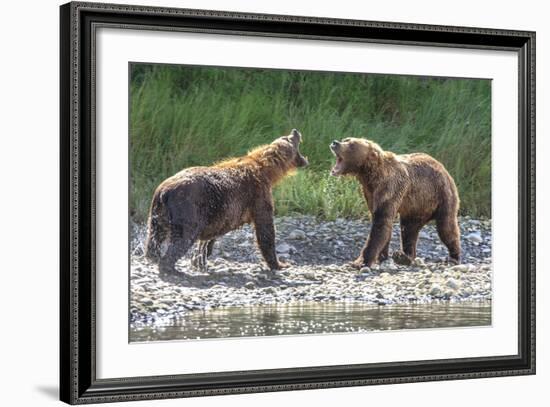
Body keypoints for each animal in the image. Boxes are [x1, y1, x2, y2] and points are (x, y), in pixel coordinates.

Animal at [146, 127, 310, 274]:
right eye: (289, 138)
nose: (295, 130)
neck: (267, 171)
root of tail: (164, 191)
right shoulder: (258, 195)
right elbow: (265, 228)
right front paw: (280, 264)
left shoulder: (218, 213)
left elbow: (211, 236)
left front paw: (201, 258)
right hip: (187, 206)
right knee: (184, 236)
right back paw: (170, 267)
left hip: (158, 212)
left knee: (155, 236)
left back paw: (153, 256)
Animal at [330, 139, 464, 270]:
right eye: (346, 139)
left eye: (351, 144)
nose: (335, 143)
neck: (369, 176)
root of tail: (443, 167)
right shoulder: (370, 193)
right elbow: (382, 224)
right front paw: (382, 256)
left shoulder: (390, 188)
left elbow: (381, 223)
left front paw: (360, 262)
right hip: (415, 207)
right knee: (409, 230)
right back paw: (404, 256)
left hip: (442, 195)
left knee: (446, 227)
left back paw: (453, 257)